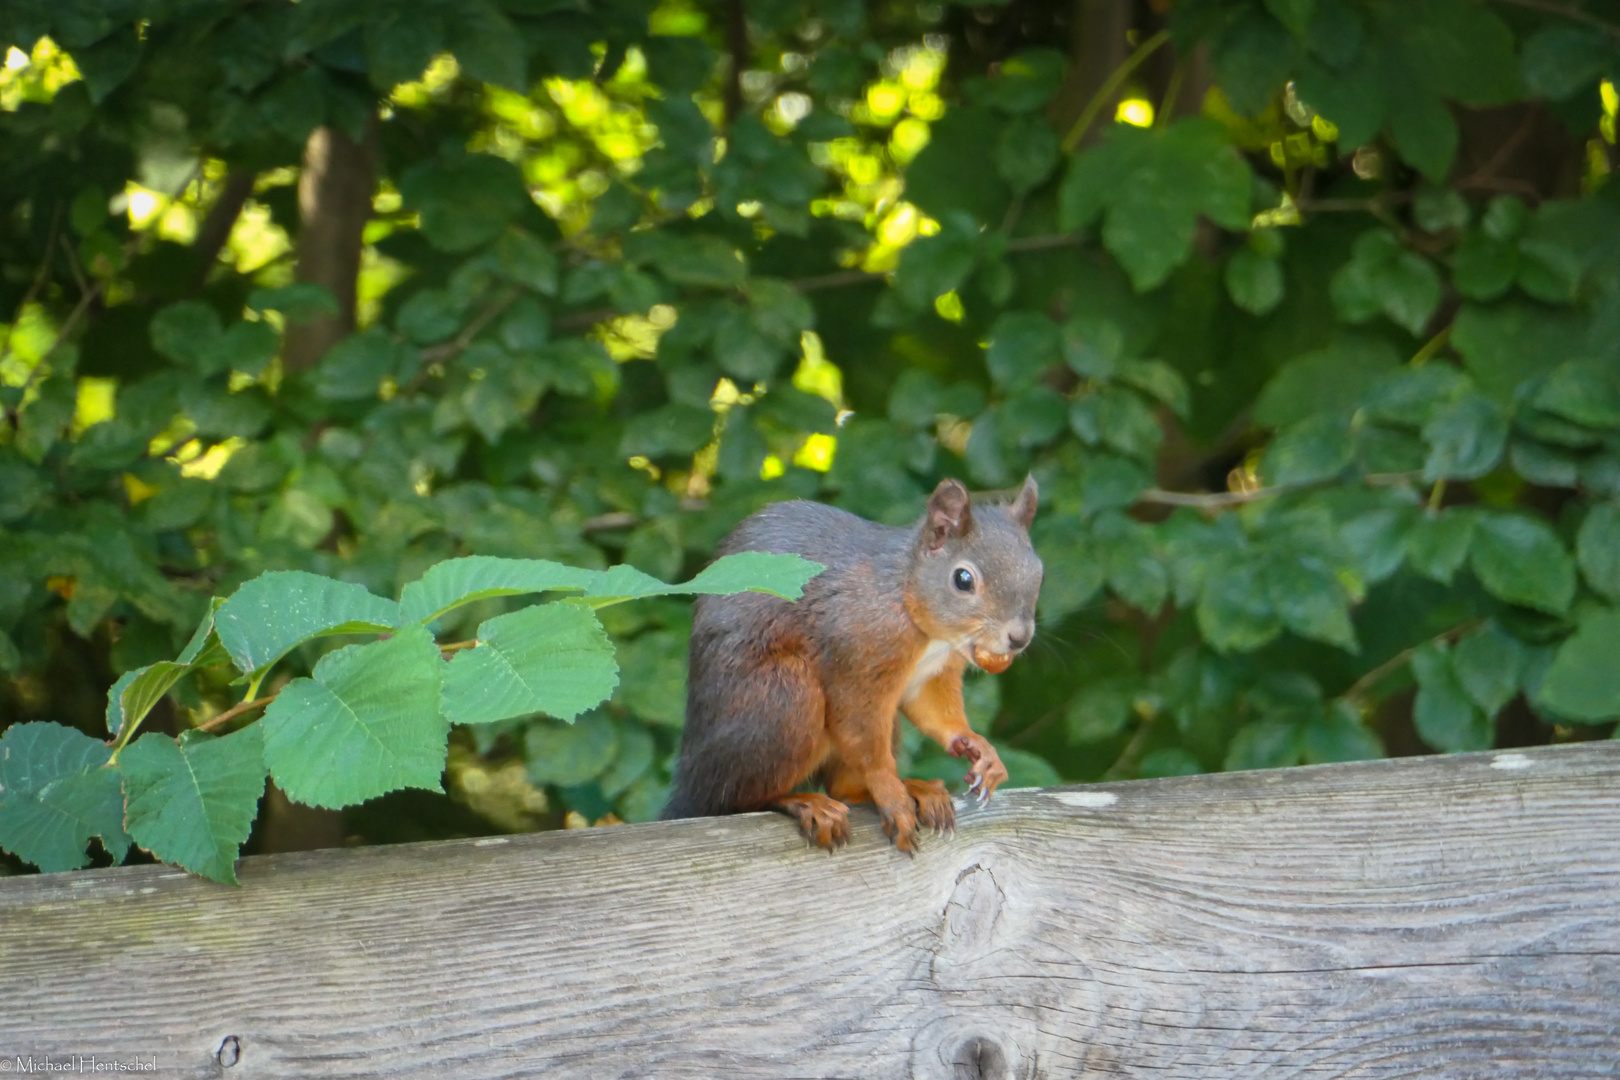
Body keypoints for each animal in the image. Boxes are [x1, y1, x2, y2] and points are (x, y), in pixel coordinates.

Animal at [664, 479, 1043, 854]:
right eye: (963, 579)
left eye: (1039, 573)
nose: (1019, 638)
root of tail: (690, 779)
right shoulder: (859, 651)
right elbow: (861, 730)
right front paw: (890, 792)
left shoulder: (933, 672)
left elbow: (933, 709)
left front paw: (978, 747)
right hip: (782, 700)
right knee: (738, 800)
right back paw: (804, 802)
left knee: (845, 790)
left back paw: (915, 789)